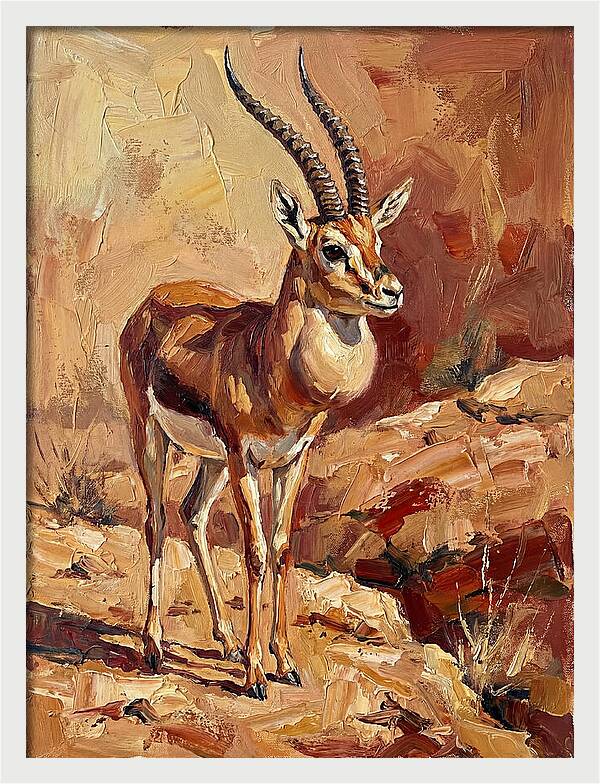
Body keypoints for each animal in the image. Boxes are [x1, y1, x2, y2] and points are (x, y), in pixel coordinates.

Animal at [119, 46, 413, 700]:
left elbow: (279, 549)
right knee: (156, 519)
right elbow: (253, 551)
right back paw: (156, 649)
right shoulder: (246, 458)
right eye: (332, 247)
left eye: (376, 238)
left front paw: (285, 661)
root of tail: (151, 299)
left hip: (207, 460)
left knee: (193, 516)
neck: (272, 370)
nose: (390, 291)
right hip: (153, 436)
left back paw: (225, 641)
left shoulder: (292, 458)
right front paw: (256, 674)